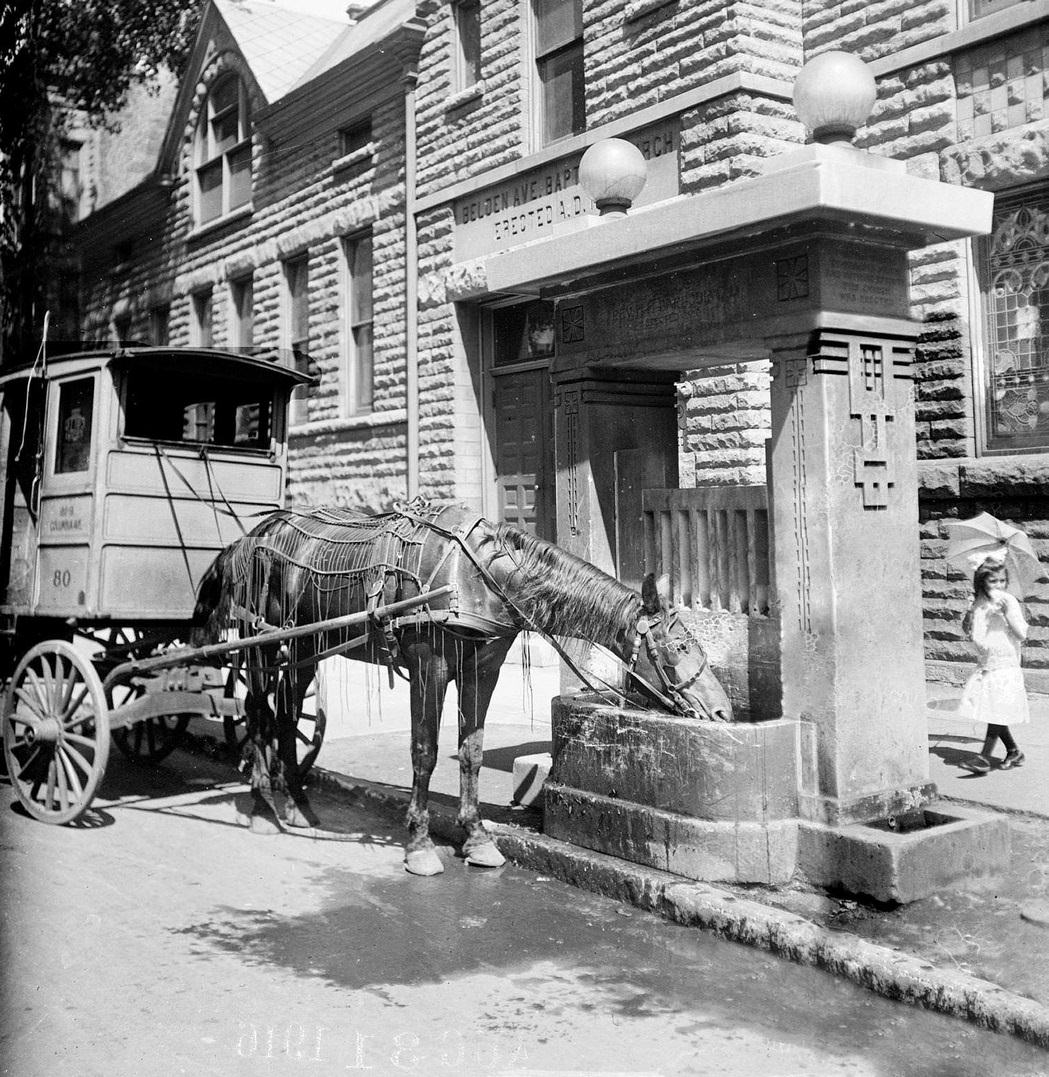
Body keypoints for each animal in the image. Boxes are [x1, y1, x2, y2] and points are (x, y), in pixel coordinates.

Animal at [192, 497, 736, 874]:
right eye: (680, 644)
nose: (724, 712)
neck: (479, 577)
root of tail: (252, 535)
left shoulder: (482, 669)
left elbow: (471, 751)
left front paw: (477, 839)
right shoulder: (429, 667)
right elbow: (425, 751)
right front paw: (418, 845)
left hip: (304, 648)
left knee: (286, 716)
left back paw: (295, 804)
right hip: (263, 646)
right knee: (258, 711)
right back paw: (263, 803)